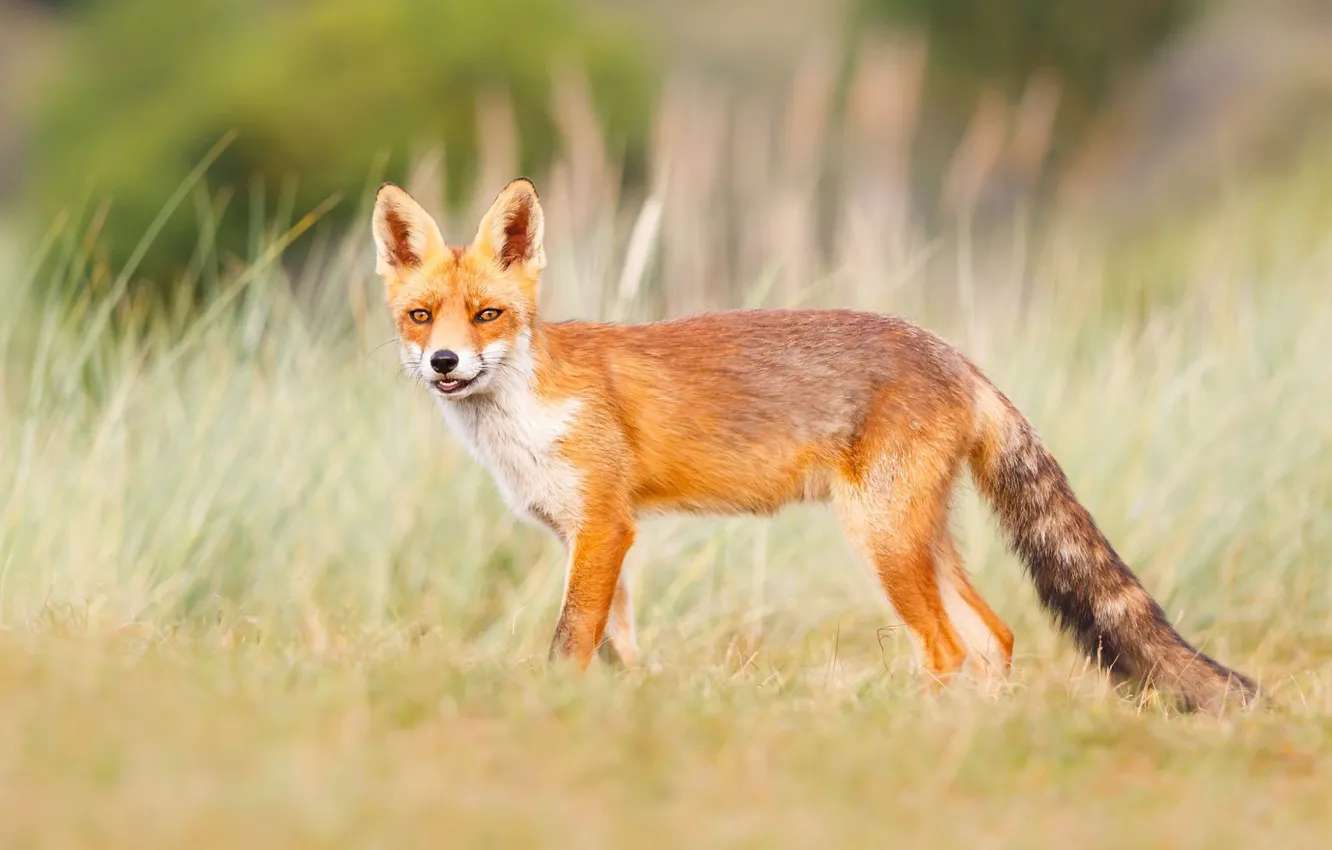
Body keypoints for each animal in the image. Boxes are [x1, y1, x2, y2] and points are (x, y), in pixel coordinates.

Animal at [371, 177, 1258, 713]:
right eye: (422, 317)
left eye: (487, 315)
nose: (445, 362)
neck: (522, 417)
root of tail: (956, 355)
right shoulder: (586, 536)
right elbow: (614, 646)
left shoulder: (605, 528)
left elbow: (569, 642)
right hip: (919, 538)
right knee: (995, 638)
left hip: (881, 538)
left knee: (947, 650)